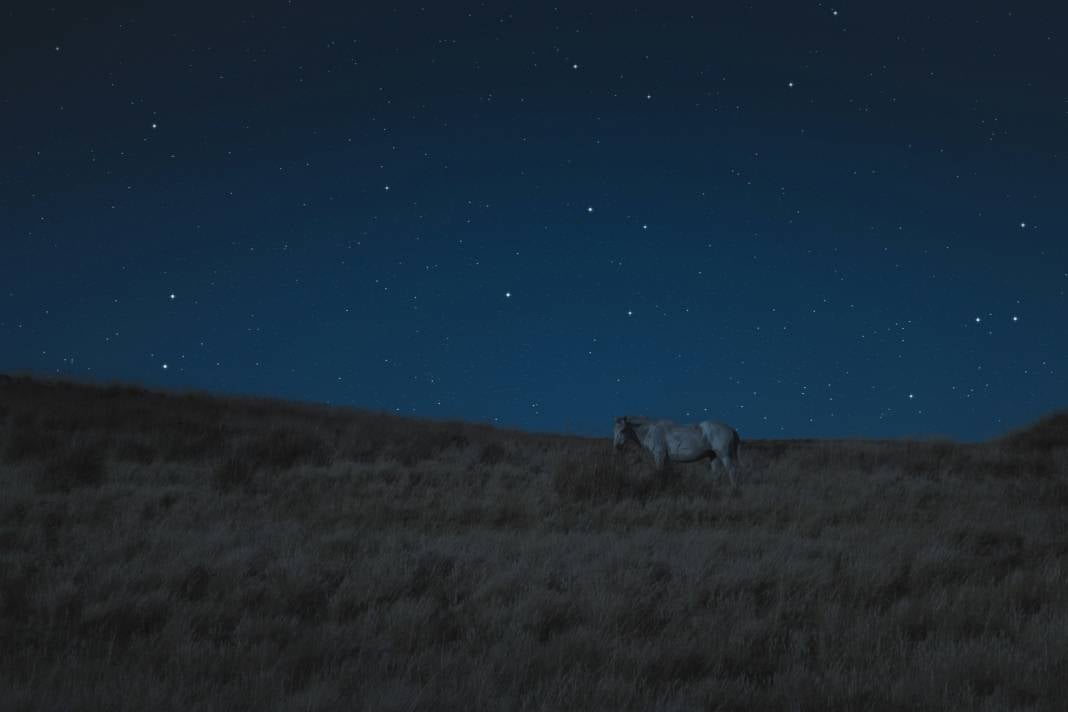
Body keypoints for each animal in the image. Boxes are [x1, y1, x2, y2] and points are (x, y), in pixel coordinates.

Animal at [610, 414, 743, 486]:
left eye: (623, 430)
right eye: (614, 430)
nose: (616, 446)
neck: (650, 430)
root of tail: (730, 428)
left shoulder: (659, 455)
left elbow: (660, 471)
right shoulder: (666, 458)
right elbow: (667, 472)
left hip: (725, 455)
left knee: (732, 471)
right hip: (713, 456)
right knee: (717, 474)